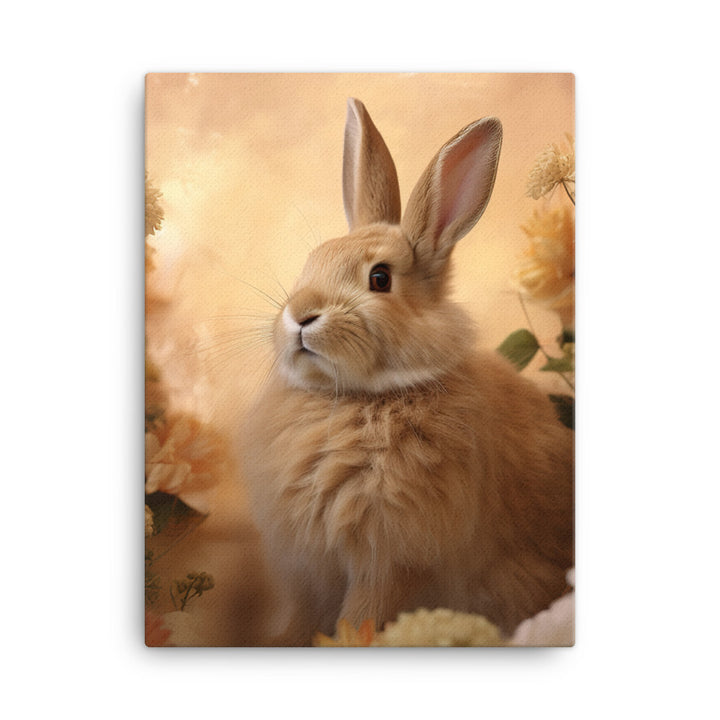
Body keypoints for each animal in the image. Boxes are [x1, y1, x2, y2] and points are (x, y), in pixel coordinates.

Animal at [241, 98, 574, 645]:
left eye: (380, 279)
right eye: (310, 264)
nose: (301, 315)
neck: (356, 398)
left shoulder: (389, 559)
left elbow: (361, 616)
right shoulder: (307, 573)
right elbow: (297, 620)